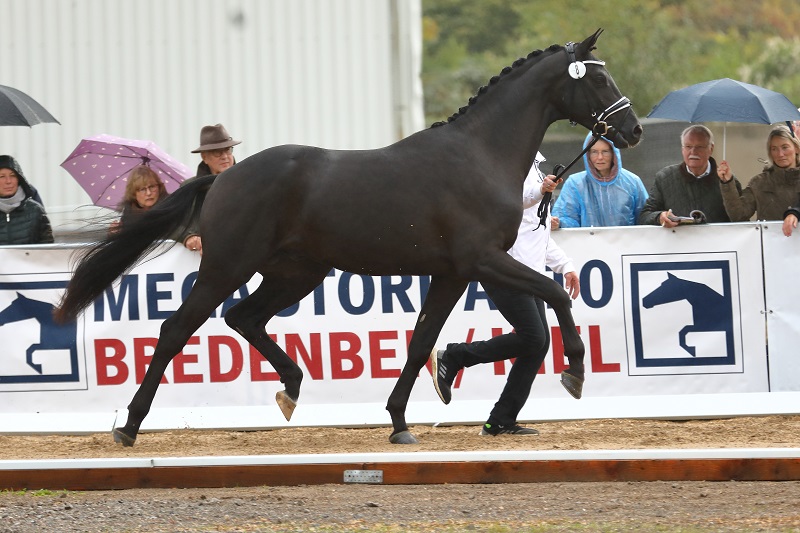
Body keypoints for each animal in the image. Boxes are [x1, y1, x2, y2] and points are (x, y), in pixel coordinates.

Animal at [56, 29, 640, 444]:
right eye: (597, 80)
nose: (631, 130)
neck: (479, 155)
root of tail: (222, 177)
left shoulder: (452, 273)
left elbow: (423, 341)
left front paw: (400, 420)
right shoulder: (482, 260)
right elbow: (554, 295)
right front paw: (576, 372)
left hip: (297, 272)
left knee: (244, 317)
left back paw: (290, 389)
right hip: (228, 266)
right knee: (178, 328)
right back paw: (128, 426)